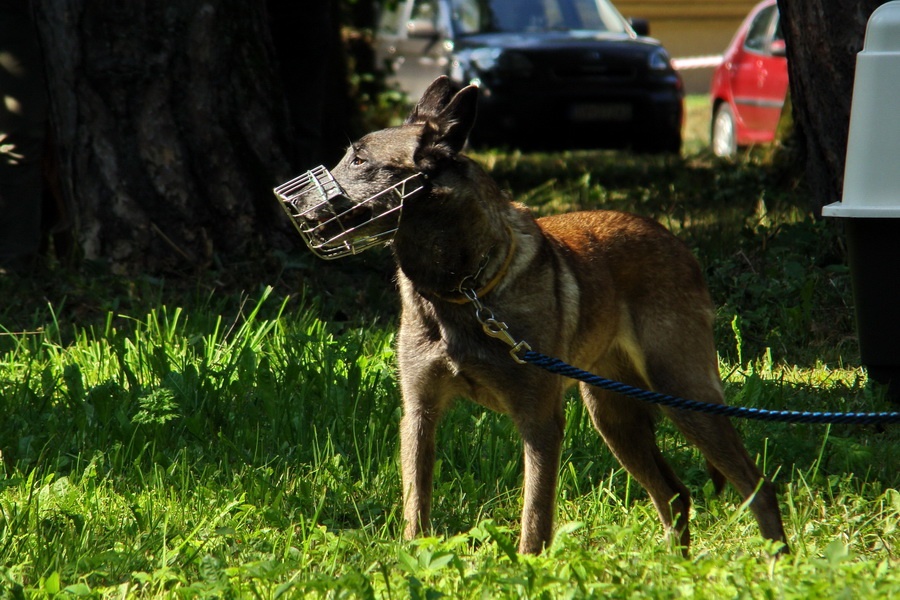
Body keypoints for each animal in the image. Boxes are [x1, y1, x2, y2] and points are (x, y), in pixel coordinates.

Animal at [280, 77, 788, 556]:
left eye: (359, 160)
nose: (292, 204)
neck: (462, 289)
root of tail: (675, 241)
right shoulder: (420, 413)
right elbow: (416, 503)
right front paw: (415, 556)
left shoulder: (539, 421)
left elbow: (536, 515)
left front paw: (527, 569)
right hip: (614, 416)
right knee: (676, 496)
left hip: (684, 395)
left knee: (759, 489)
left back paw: (774, 563)